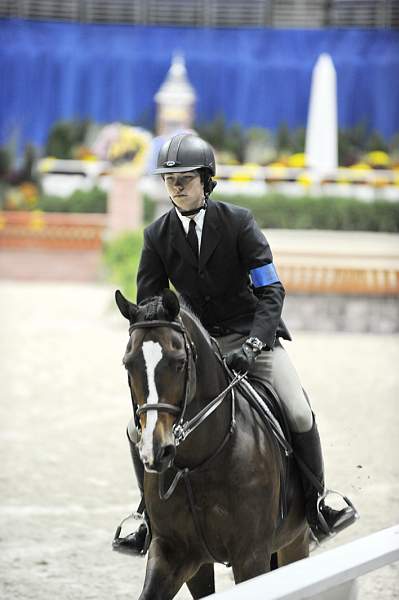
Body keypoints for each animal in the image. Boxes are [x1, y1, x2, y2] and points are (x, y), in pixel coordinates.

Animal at [115, 288, 310, 596]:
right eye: (128, 363)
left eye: (179, 362)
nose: (155, 451)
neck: (196, 463)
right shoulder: (173, 552)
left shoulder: (251, 555)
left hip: (294, 542)